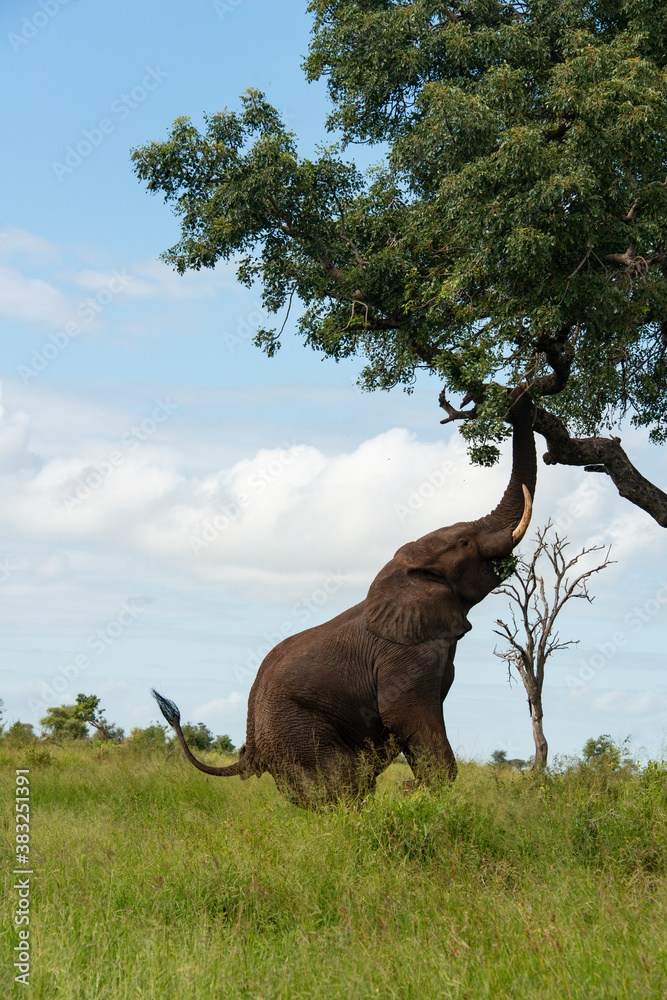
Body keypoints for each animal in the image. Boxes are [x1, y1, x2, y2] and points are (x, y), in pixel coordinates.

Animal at [153, 387, 536, 806]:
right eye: (466, 542)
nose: (517, 395)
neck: (403, 573)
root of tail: (250, 747)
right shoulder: (405, 656)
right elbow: (406, 714)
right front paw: (415, 794)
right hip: (297, 733)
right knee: (340, 784)